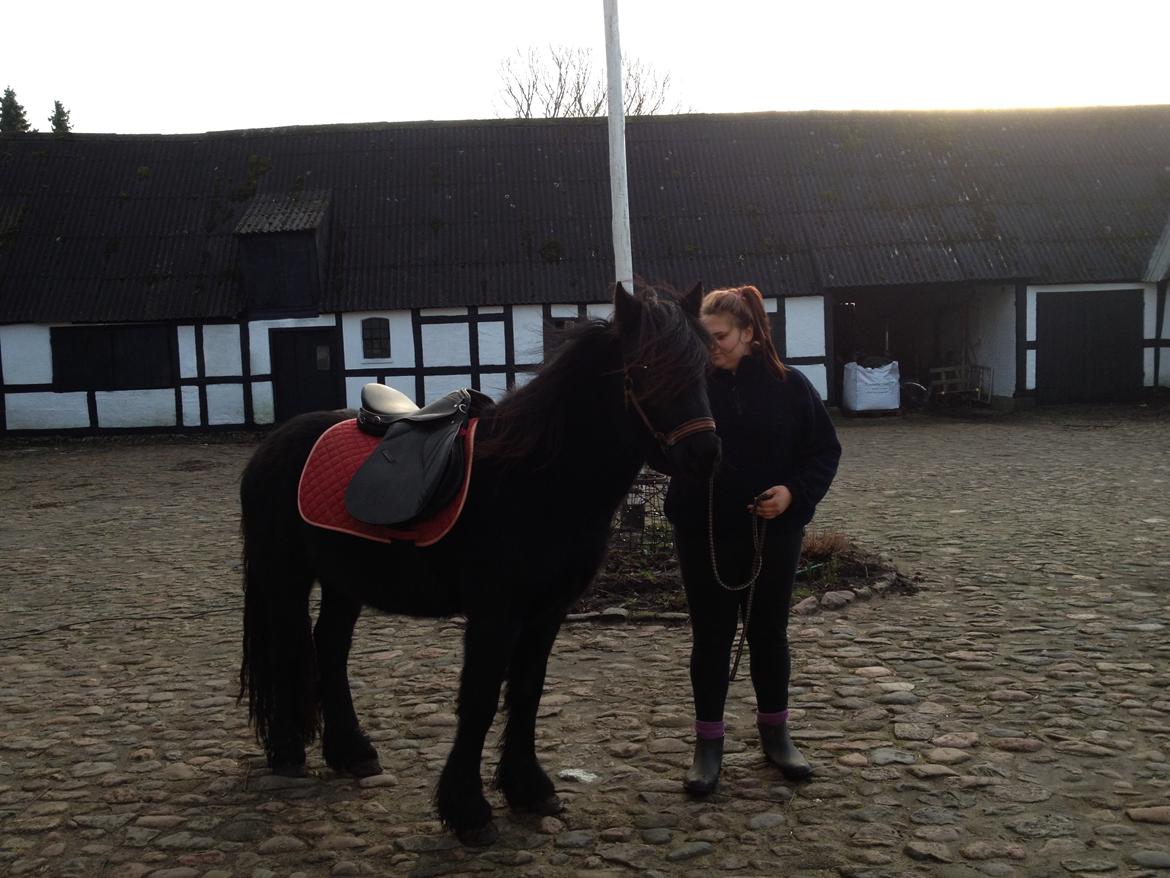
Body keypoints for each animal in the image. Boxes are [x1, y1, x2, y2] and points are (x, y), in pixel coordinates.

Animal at [238, 282, 721, 845]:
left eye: (704, 366)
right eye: (645, 367)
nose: (705, 454)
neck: (538, 479)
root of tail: (276, 443)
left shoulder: (547, 611)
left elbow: (527, 691)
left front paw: (528, 787)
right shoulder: (495, 614)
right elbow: (481, 698)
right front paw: (467, 809)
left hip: (344, 582)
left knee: (330, 647)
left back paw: (351, 751)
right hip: (284, 577)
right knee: (288, 649)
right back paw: (286, 749)